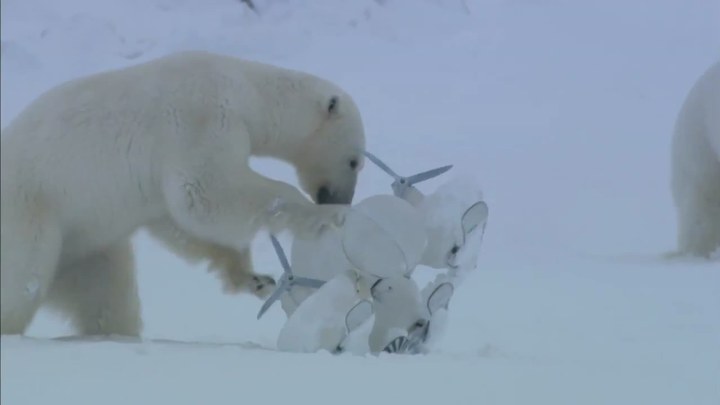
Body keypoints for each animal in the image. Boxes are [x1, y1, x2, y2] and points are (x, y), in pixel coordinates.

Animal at [0, 49, 368, 334]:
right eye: (354, 162)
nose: (339, 197)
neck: (246, 90)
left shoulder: (159, 179)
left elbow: (177, 223)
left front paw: (255, 278)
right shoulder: (200, 119)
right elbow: (207, 193)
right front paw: (327, 215)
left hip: (82, 245)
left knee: (107, 292)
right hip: (31, 212)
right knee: (23, 281)